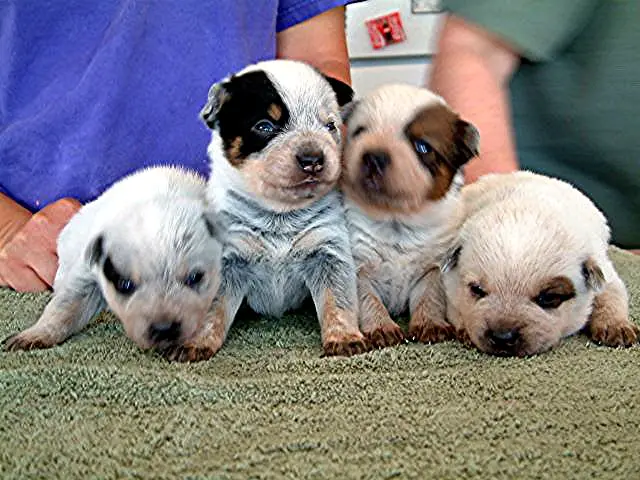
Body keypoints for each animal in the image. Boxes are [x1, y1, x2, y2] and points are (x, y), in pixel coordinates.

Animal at [3, 167, 222, 354]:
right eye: (125, 284)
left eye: (194, 278)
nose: (164, 329)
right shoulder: (87, 272)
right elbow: (64, 306)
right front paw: (35, 334)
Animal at [160, 58, 368, 362]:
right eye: (265, 126)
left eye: (330, 125)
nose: (313, 159)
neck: (278, 215)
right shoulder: (225, 258)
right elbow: (212, 309)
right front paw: (196, 342)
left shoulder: (327, 252)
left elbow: (336, 298)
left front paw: (344, 337)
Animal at [340, 84, 480, 348]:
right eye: (360, 132)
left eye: (423, 147)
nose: (373, 156)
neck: (396, 218)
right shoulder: (359, 268)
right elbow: (369, 300)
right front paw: (381, 327)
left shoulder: (432, 270)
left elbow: (429, 299)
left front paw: (430, 324)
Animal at [442, 172, 636, 356]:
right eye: (477, 290)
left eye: (548, 298)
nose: (502, 337)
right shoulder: (451, 285)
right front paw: (465, 330)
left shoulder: (601, 265)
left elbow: (611, 294)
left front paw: (616, 326)